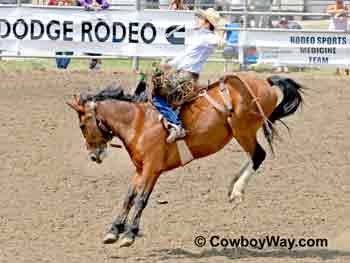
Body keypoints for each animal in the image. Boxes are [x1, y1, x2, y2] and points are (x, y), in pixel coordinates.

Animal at [66, 73, 304, 249]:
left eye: (82, 125)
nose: (94, 156)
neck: (139, 122)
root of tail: (264, 82)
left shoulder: (152, 169)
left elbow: (141, 199)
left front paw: (129, 234)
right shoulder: (140, 169)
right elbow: (129, 197)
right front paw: (113, 230)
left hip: (242, 129)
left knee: (258, 155)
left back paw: (237, 190)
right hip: (243, 132)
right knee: (254, 156)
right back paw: (233, 186)